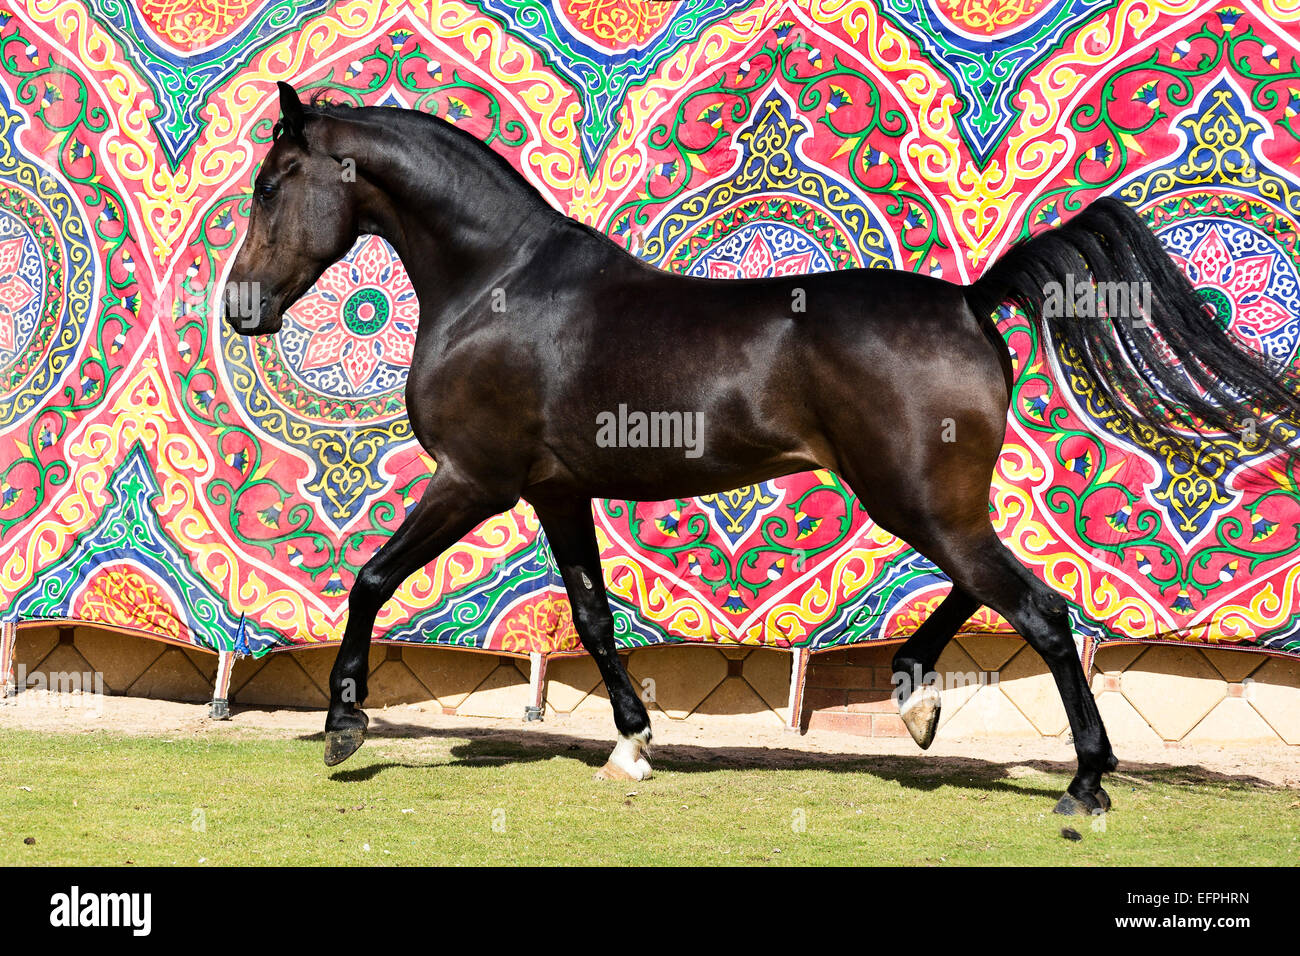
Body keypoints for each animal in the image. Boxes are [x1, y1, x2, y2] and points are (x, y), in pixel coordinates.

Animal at [223, 82, 1300, 815]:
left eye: (275, 182)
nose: (240, 307)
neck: (501, 284)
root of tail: (966, 299)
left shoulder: (474, 479)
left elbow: (369, 577)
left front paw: (343, 725)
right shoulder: (555, 491)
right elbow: (593, 618)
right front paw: (633, 745)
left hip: (912, 500)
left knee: (1036, 605)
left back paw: (1083, 781)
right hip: (931, 500)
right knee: (992, 589)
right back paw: (917, 697)